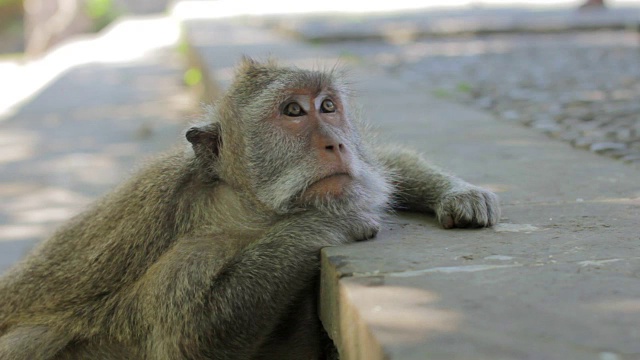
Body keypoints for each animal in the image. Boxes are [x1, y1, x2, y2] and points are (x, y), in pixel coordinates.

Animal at [0, 57, 500, 358]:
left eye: (328, 106)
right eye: (294, 111)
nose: (336, 143)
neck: (243, 208)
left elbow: (381, 167)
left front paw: (459, 193)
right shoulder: (193, 251)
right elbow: (192, 336)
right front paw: (325, 222)